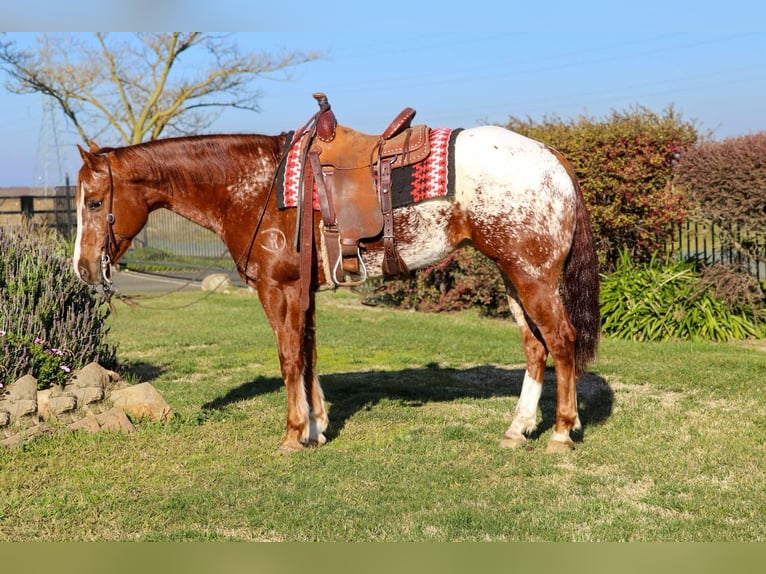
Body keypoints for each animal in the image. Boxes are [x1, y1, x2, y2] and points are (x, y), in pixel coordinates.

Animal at [72, 115, 604, 454]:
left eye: (95, 202)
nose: (82, 268)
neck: (256, 187)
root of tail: (551, 157)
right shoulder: (303, 293)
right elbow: (309, 355)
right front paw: (318, 427)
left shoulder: (279, 289)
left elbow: (290, 357)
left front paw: (293, 434)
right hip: (515, 276)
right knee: (535, 348)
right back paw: (519, 428)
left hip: (532, 276)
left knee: (561, 341)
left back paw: (561, 432)